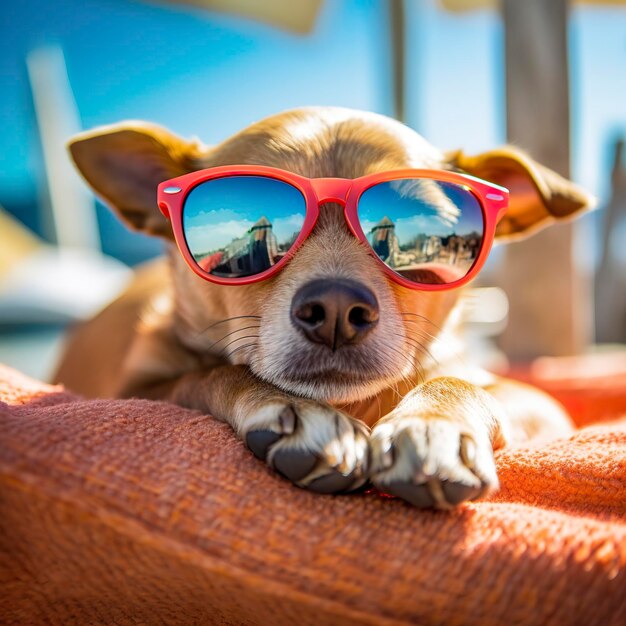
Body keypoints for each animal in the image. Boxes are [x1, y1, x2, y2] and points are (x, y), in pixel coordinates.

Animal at [52, 107, 588, 508]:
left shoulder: (541, 405)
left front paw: (432, 426)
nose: (335, 307)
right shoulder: (138, 389)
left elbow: (460, 383)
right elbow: (211, 373)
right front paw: (294, 408)